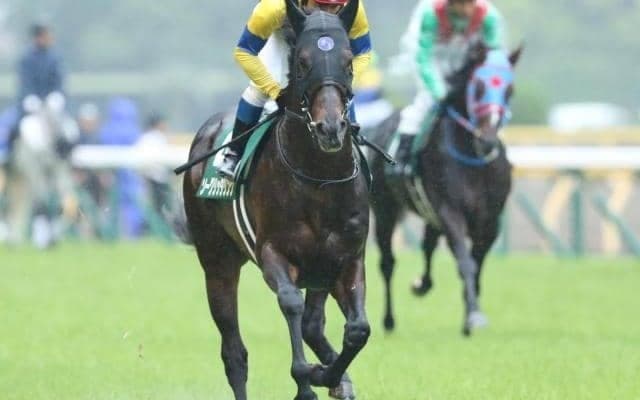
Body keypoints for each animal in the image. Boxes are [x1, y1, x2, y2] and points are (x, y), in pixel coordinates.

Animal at [175, 1, 370, 399]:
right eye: (303, 63)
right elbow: (290, 304)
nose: (331, 128)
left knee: (313, 324)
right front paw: (307, 378)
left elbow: (358, 329)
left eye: (348, 62)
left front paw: (330, 375)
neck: (320, 179)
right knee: (234, 353)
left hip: (320, 271)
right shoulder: (274, 254)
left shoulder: (347, 258)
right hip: (217, 262)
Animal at [368, 43, 522, 336]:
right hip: (385, 210)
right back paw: (389, 320)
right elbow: (465, 262)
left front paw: (469, 315)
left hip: (430, 213)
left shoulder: (490, 221)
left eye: (510, 89)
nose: (487, 140)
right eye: (478, 87)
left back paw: (422, 284)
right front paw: (474, 316)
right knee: (387, 263)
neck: (474, 159)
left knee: (428, 245)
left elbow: (476, 265)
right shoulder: (451, 212)